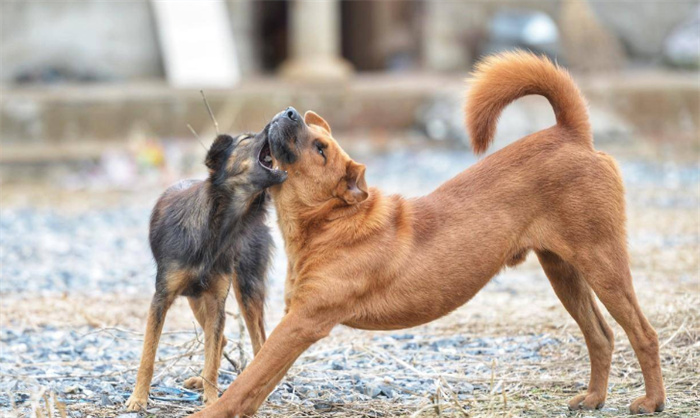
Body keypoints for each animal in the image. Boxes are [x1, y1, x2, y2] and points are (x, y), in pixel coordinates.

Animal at [127, 131, 286, 412]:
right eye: (246, 138)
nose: (275, 124)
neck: (216, 226)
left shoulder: (216, 303)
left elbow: (212, 360)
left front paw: (212, 401)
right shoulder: (162, 299)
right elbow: (148, 354)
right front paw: (138, 397)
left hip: (246, 289)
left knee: (258, 341)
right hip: (195, 298)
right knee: (221, 342)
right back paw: (201, 382)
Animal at [191, 50, 668, 416]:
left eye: (321, 148)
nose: (290, 111)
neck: (329, 222)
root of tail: (571, 133)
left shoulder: (303, 322)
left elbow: (249, 378)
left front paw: (211, 410)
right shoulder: (294, 321)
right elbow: (256, 383)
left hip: (603, 262)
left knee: (643, 334)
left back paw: (653, 402)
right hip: (563, 271)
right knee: (601, 335)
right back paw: (593, 398)